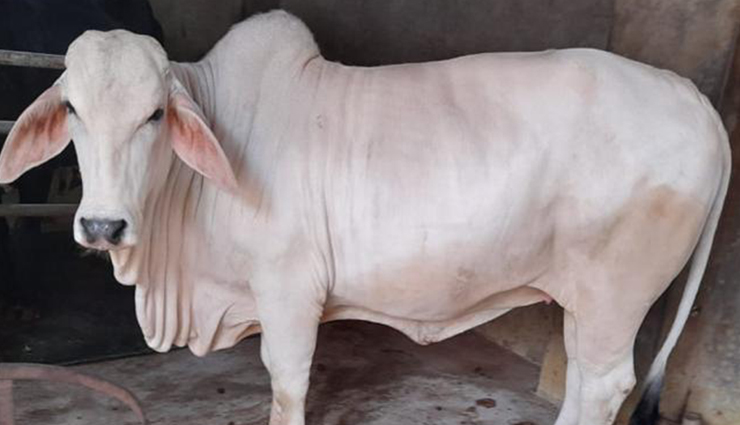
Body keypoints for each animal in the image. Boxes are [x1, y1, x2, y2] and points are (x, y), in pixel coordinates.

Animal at [0, 10, 730, 425]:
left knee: (604, 386)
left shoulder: (288, 288)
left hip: (617, 294)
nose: (103, 226)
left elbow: (287, 385)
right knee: (583, 380)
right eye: (72, 109)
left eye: (155, 114)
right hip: (587, 300)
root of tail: (694, 98)